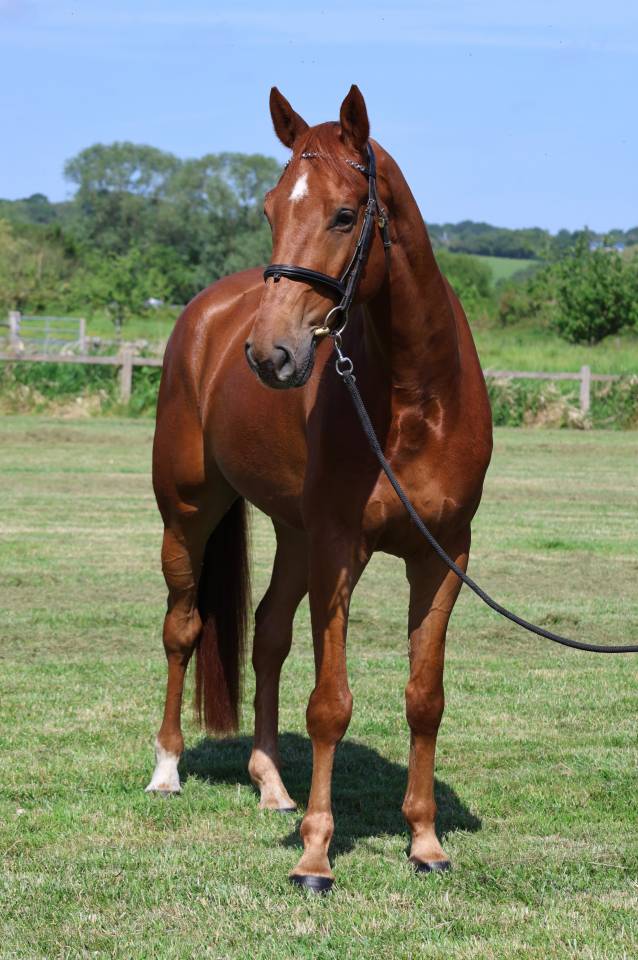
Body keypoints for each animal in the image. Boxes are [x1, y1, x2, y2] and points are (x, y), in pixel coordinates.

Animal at [145, 85, 493, 892]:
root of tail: (209, 316)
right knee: (183, 629)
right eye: (272, 207)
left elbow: (424, 698)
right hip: (188, 513)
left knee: (267, 634)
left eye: (343, 213)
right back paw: (167, 769)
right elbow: (331, 704)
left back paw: (272, 783)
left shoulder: (442, 557)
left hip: (293, 534)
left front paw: (425, 841)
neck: (414, 399)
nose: (270, 354)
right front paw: (315, 856)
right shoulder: (340, 551)